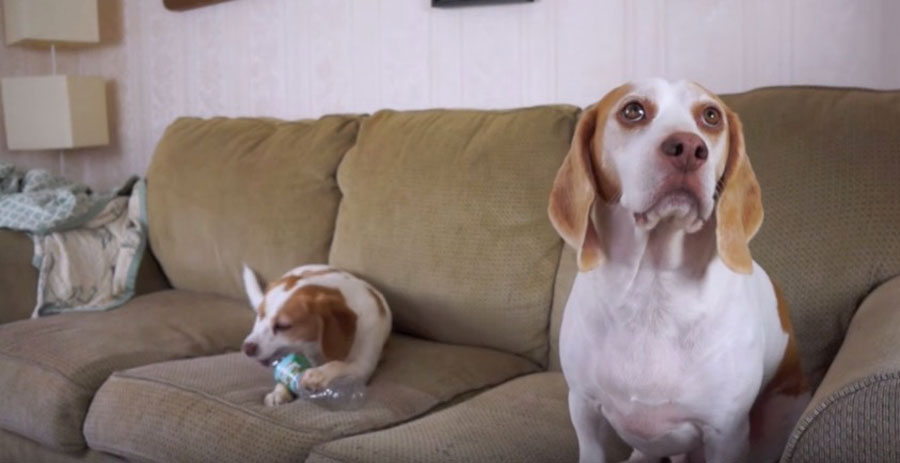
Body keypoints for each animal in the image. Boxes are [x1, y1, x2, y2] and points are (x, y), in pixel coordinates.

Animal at [241, 264, 392, 406]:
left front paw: (319, 374)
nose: (246, 348)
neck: (316, 346)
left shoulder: (364, 366)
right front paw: (280, 390)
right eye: (260, 315)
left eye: (283, 326)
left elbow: (338, 364)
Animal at [552, 78, 812, 462]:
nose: (689, 148)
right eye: (633, 110)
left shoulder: (726, 434)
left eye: (711, 116)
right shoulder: (584, 412)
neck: (653, 286)